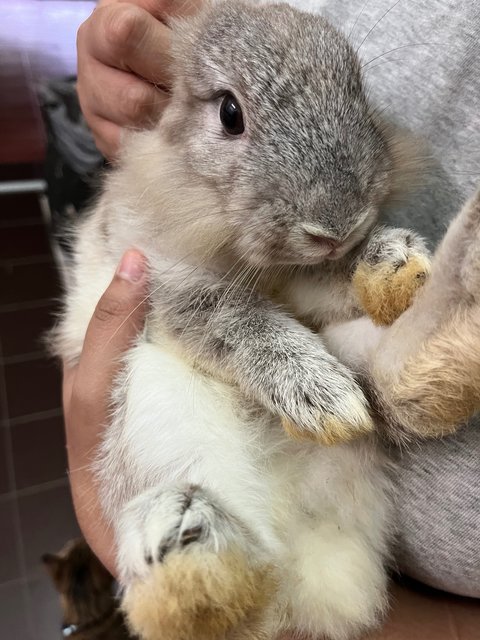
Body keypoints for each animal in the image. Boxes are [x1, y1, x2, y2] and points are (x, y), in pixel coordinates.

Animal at [51, 1, 480, 640]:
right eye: (231, 114)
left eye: (359, 92)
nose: (337, 223)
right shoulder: (169, 285)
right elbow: (244, 326)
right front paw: (323, 397)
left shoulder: (309, 278)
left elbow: (333, 280)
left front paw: (394, 263)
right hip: (151, 402)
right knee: (219, 581)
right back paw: (188, 544)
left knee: (399, 385)